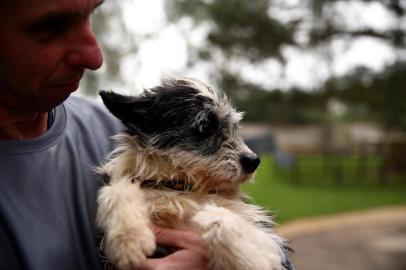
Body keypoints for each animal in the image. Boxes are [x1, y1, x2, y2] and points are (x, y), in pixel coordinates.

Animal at [96, 78, 294, 270]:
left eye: (233, 126)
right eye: (205, 126)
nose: (253, 161)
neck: (181, 188)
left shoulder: (269, 238)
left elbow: (219, 218)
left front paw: (255, 259)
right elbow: (116, 190)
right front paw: (129, 238)